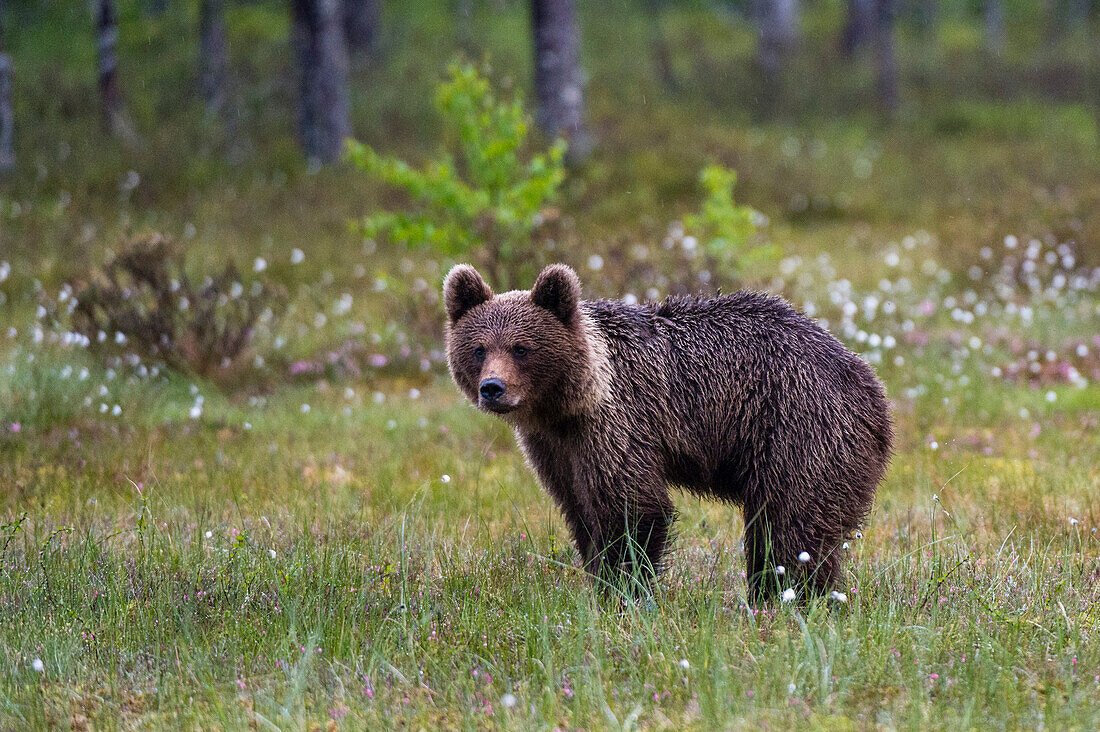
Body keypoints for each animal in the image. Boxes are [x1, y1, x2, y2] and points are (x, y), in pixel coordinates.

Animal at [442, 263, 888, 598]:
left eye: (521, 347)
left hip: (797, 428)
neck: (570, 401)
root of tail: (867, 381)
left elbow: (632, 509)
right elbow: (579, 508)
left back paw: (789, 597)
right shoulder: (554, 447)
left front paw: (622, 590)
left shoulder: (617, 423)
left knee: (790, 524)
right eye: (479, 348)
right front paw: (599, 578)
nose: (492, 388)